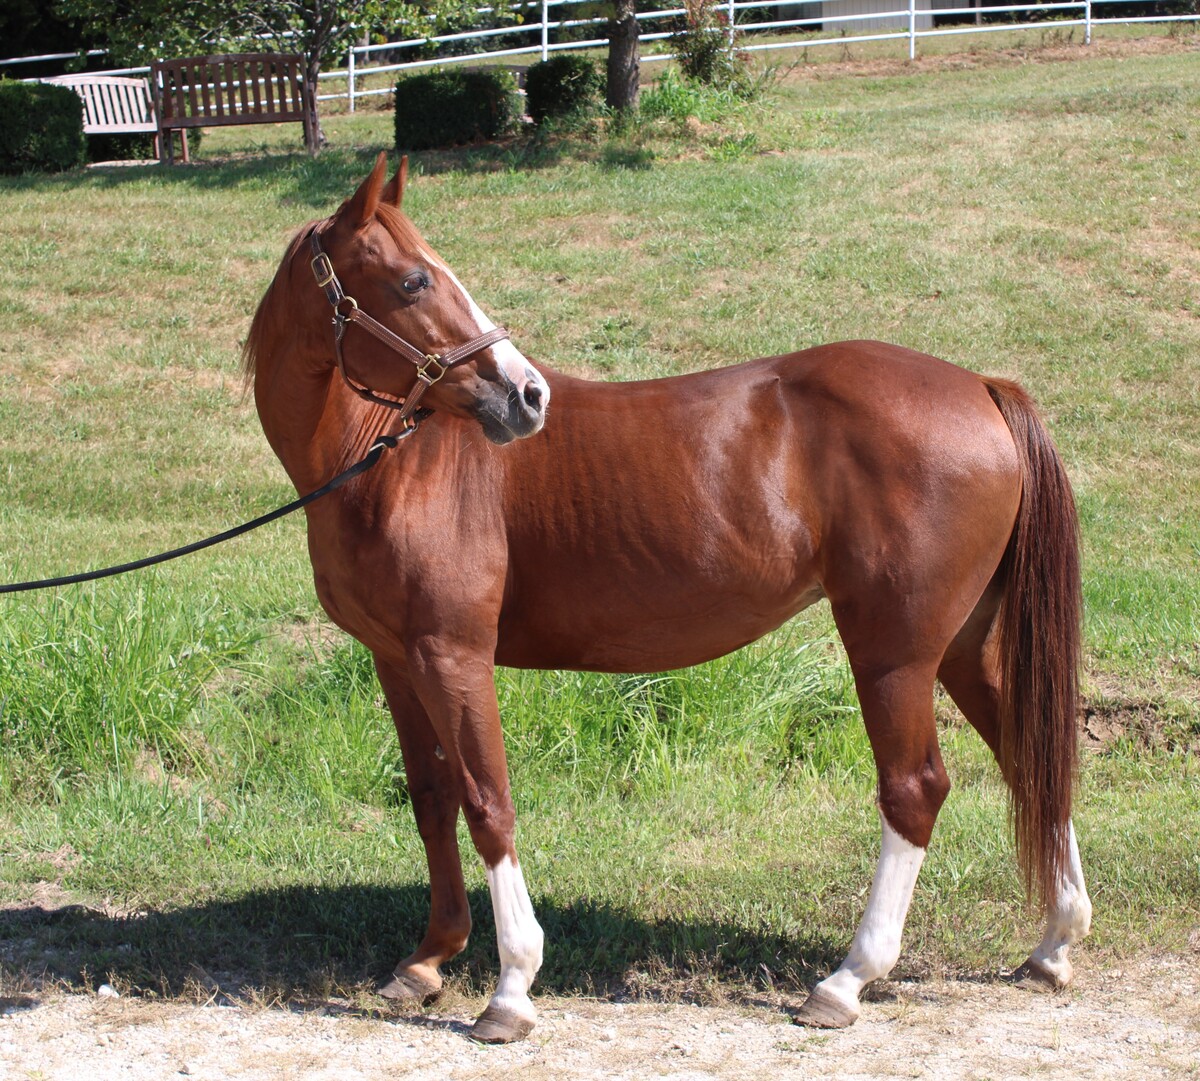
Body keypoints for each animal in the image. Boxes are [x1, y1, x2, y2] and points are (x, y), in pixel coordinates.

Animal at [243, 153, 1091, 1043]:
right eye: (412, 280)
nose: (527, 395)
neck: (390, 462)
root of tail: (981, 388)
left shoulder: (453, 654)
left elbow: (488, 802)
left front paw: (512, 985)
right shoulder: (396, 659)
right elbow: (434, 798)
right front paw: (426, 961)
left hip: (894, 652)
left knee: (916, 789)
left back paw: (847, 978)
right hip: (961, 645)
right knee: (1032, 756)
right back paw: (1052, 944)